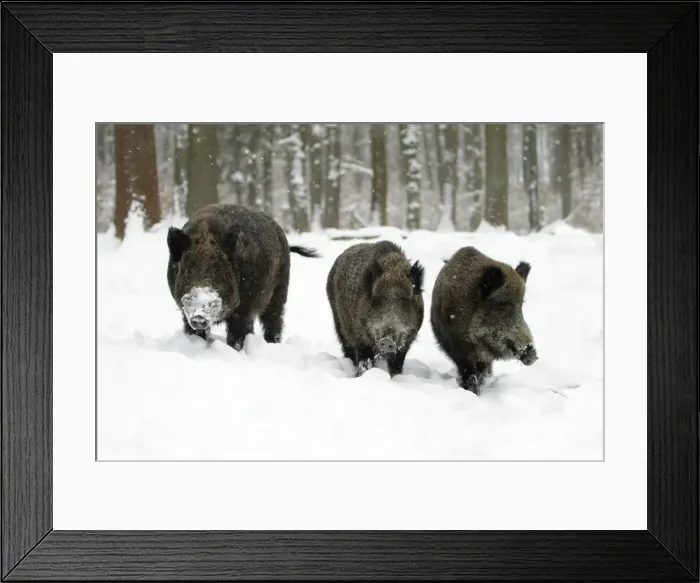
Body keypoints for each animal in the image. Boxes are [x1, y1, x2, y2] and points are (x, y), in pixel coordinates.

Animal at [166, 203, 319, 350]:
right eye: (187, 271)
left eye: (218, 270)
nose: (199, 316)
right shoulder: (184, 312)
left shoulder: (243, 308)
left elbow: (237, 334)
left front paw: (235, 350)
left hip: (280, 289)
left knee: (273, 320)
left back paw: (272, 344)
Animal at [326, 241, 425, 377]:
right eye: (378, 297)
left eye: (405, 299)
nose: (387, 340)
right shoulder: (361, 339)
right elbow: (365, 361)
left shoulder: (407, 343)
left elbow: (396, 365)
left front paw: (396, 378)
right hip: (338, 321)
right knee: (347, 348)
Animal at [430, 246, 537, 395]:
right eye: (502, 305)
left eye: (521, 305)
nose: (533, 356)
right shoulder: (458, 348)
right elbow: (470, 373)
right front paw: (473, 393)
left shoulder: (485, 358)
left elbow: (481, 373)